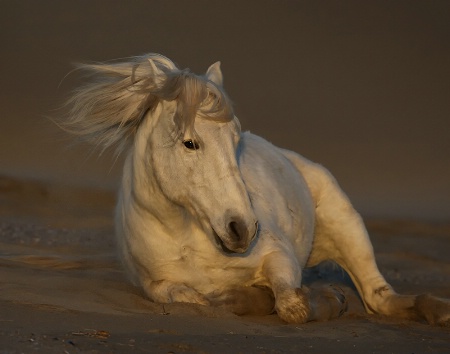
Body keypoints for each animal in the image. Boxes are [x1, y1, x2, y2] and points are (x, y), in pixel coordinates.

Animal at [63, 54, 450, 324]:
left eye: (236, 140)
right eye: (190, 143)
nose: (243, 229)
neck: (186, 235)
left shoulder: (279, 256)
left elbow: (292, 305)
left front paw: (327, 300)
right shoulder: (156, 284)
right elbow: (192, 297)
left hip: (348, 227)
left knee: (379, 296)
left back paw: (437, 310)